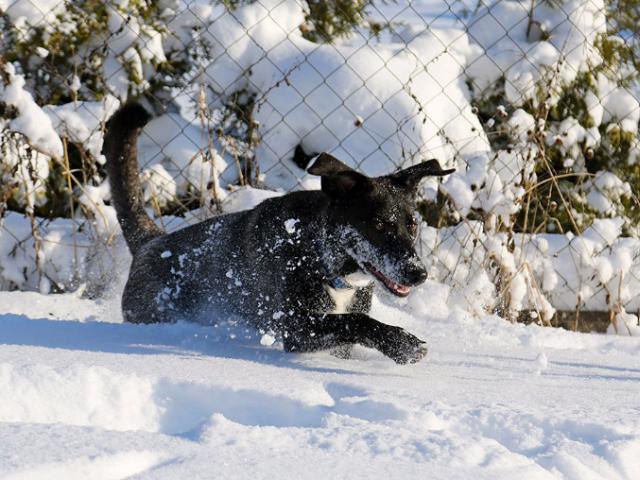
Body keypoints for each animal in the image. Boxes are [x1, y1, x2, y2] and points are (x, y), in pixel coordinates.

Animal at [105, 102, 456, 364]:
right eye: (379, 224)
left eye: (412, 225)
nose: (418, 273)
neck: (319, 255)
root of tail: (152, 241)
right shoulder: (296, 328)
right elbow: (354, 321)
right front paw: (402, 344)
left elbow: (351, 325)